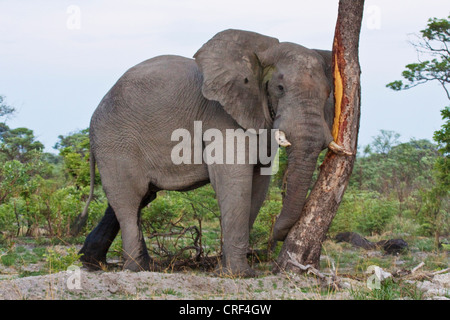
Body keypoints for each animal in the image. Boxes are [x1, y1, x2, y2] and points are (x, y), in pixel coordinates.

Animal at [79, 28, 350, 276]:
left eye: (329, 93)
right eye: (280, 88)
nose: (272, 240)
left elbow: (258, 183)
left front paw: (226, 269)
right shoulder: (221, 117)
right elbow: (235, 180)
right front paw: (240, 274)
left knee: (139, 198)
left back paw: (101, 263)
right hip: (115, 142)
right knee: (129, 199)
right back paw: (136, 269)